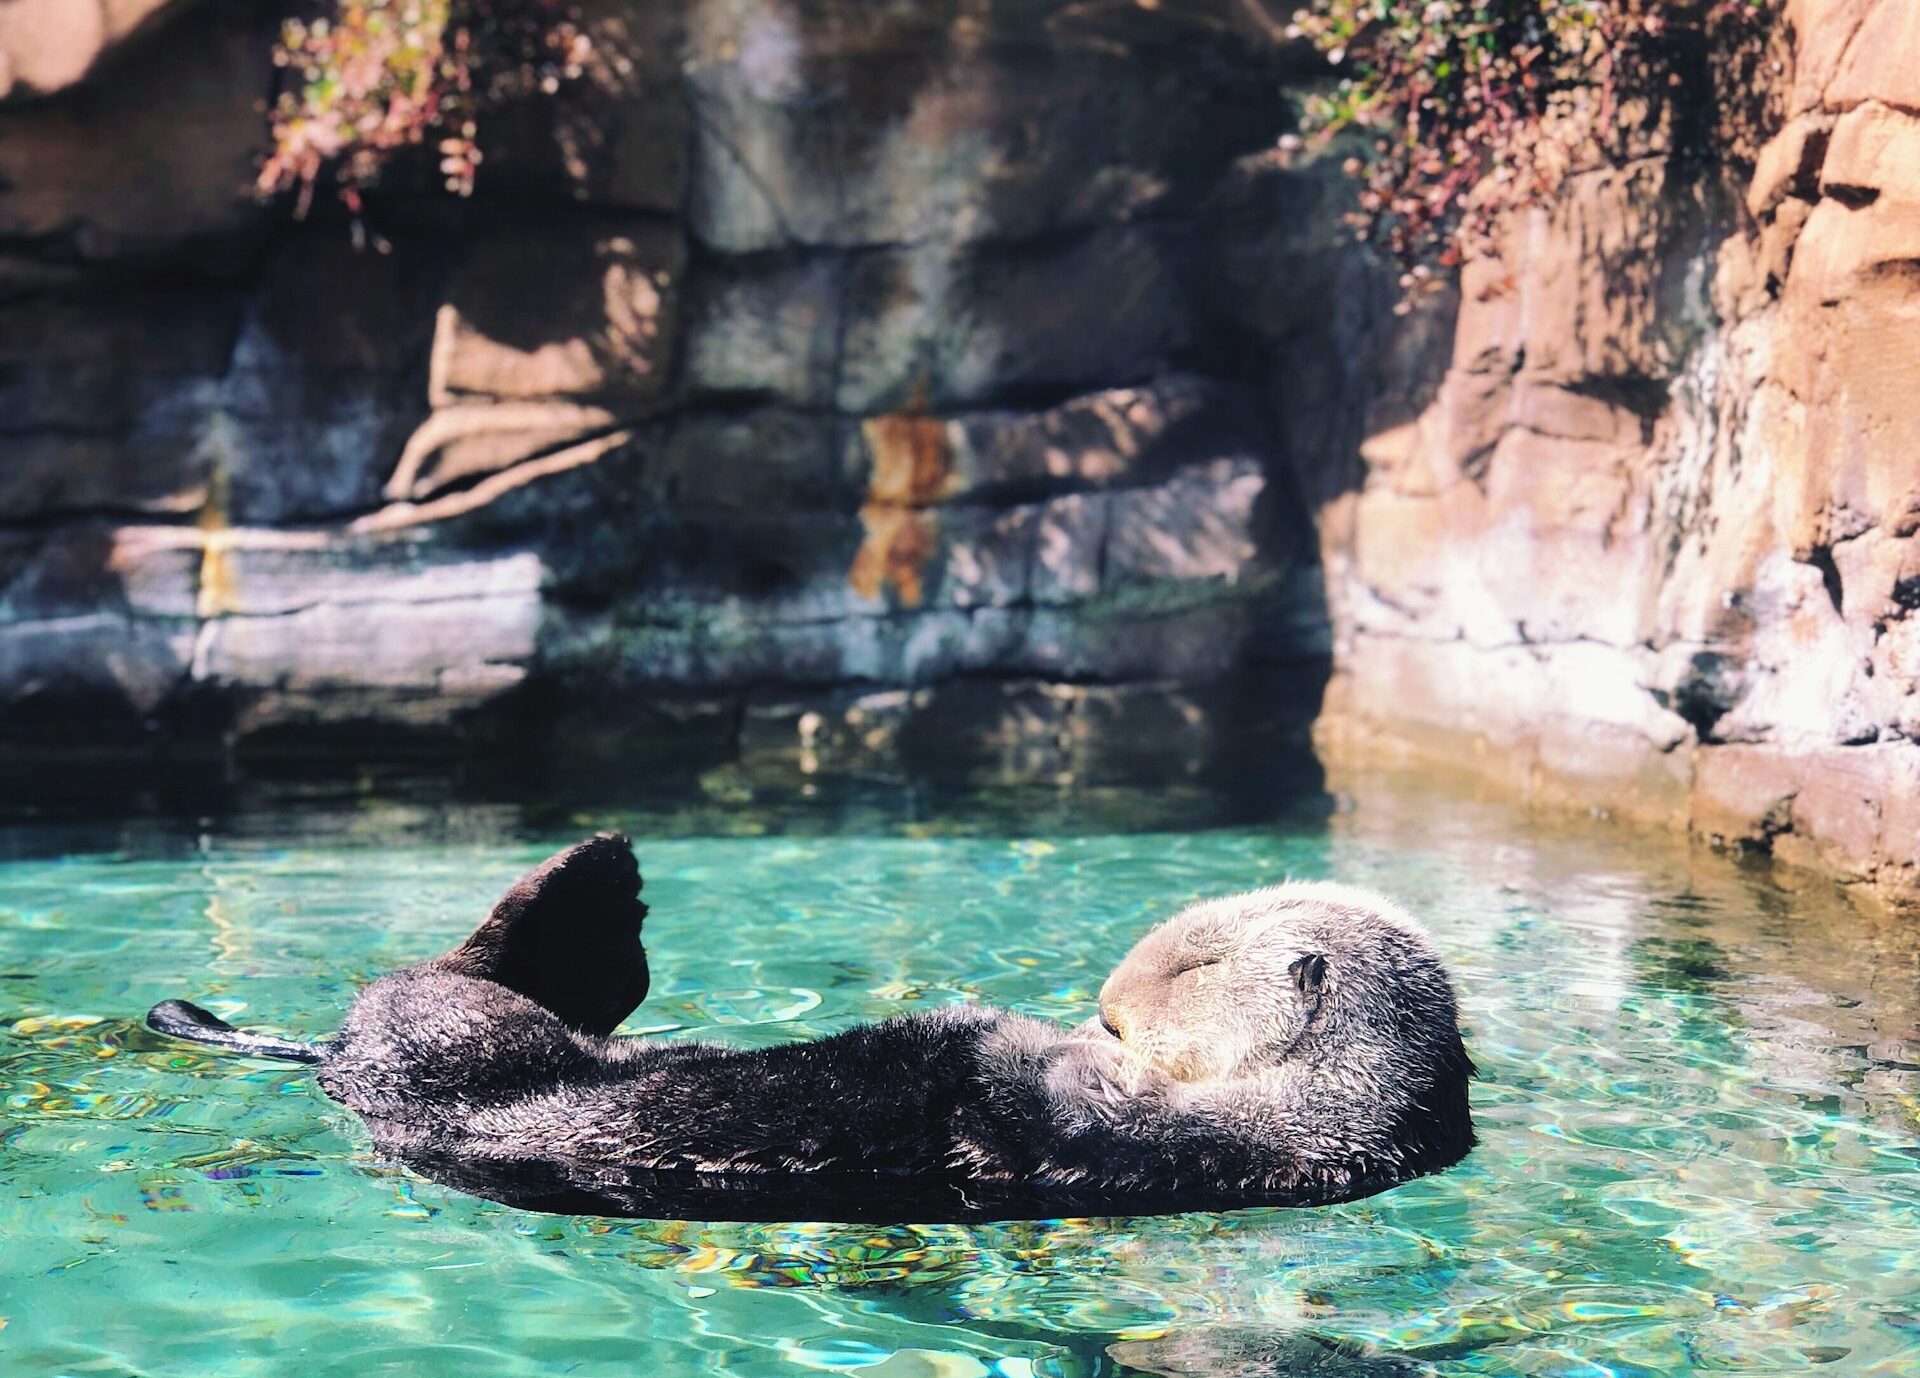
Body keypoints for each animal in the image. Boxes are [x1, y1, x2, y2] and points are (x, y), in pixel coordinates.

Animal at [147, 836, 1474, 1221]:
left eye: (1195, 963)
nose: (1103, 1003)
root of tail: (332, 1063)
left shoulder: (1160, 1141)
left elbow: (999, 1089)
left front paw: (986, 1032)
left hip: (450, 1042)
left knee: (442, 983)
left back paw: (583, 887)